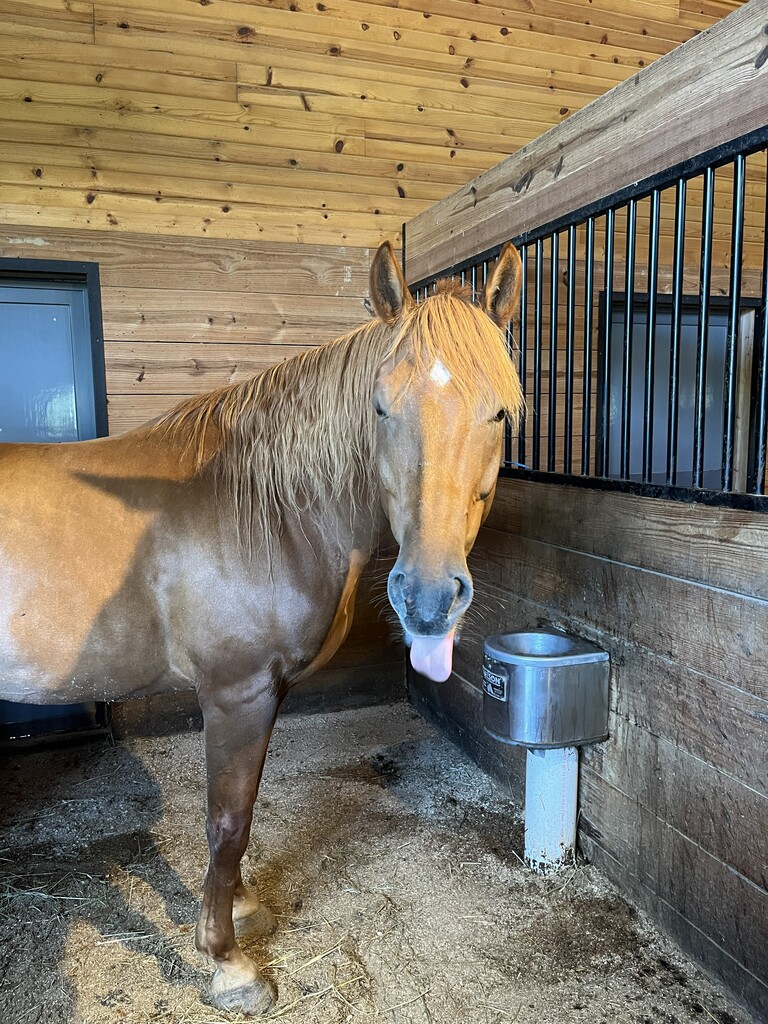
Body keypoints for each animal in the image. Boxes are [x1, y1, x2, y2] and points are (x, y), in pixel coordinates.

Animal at [0, 240, 523, 1015]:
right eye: (380, 406)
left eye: (499, 413)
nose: (428, 599)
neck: (266, 507)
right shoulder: (234, 693)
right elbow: (227, 822)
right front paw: (228, 963)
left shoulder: (264, 694)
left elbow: (241, 819)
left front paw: (242, 910)